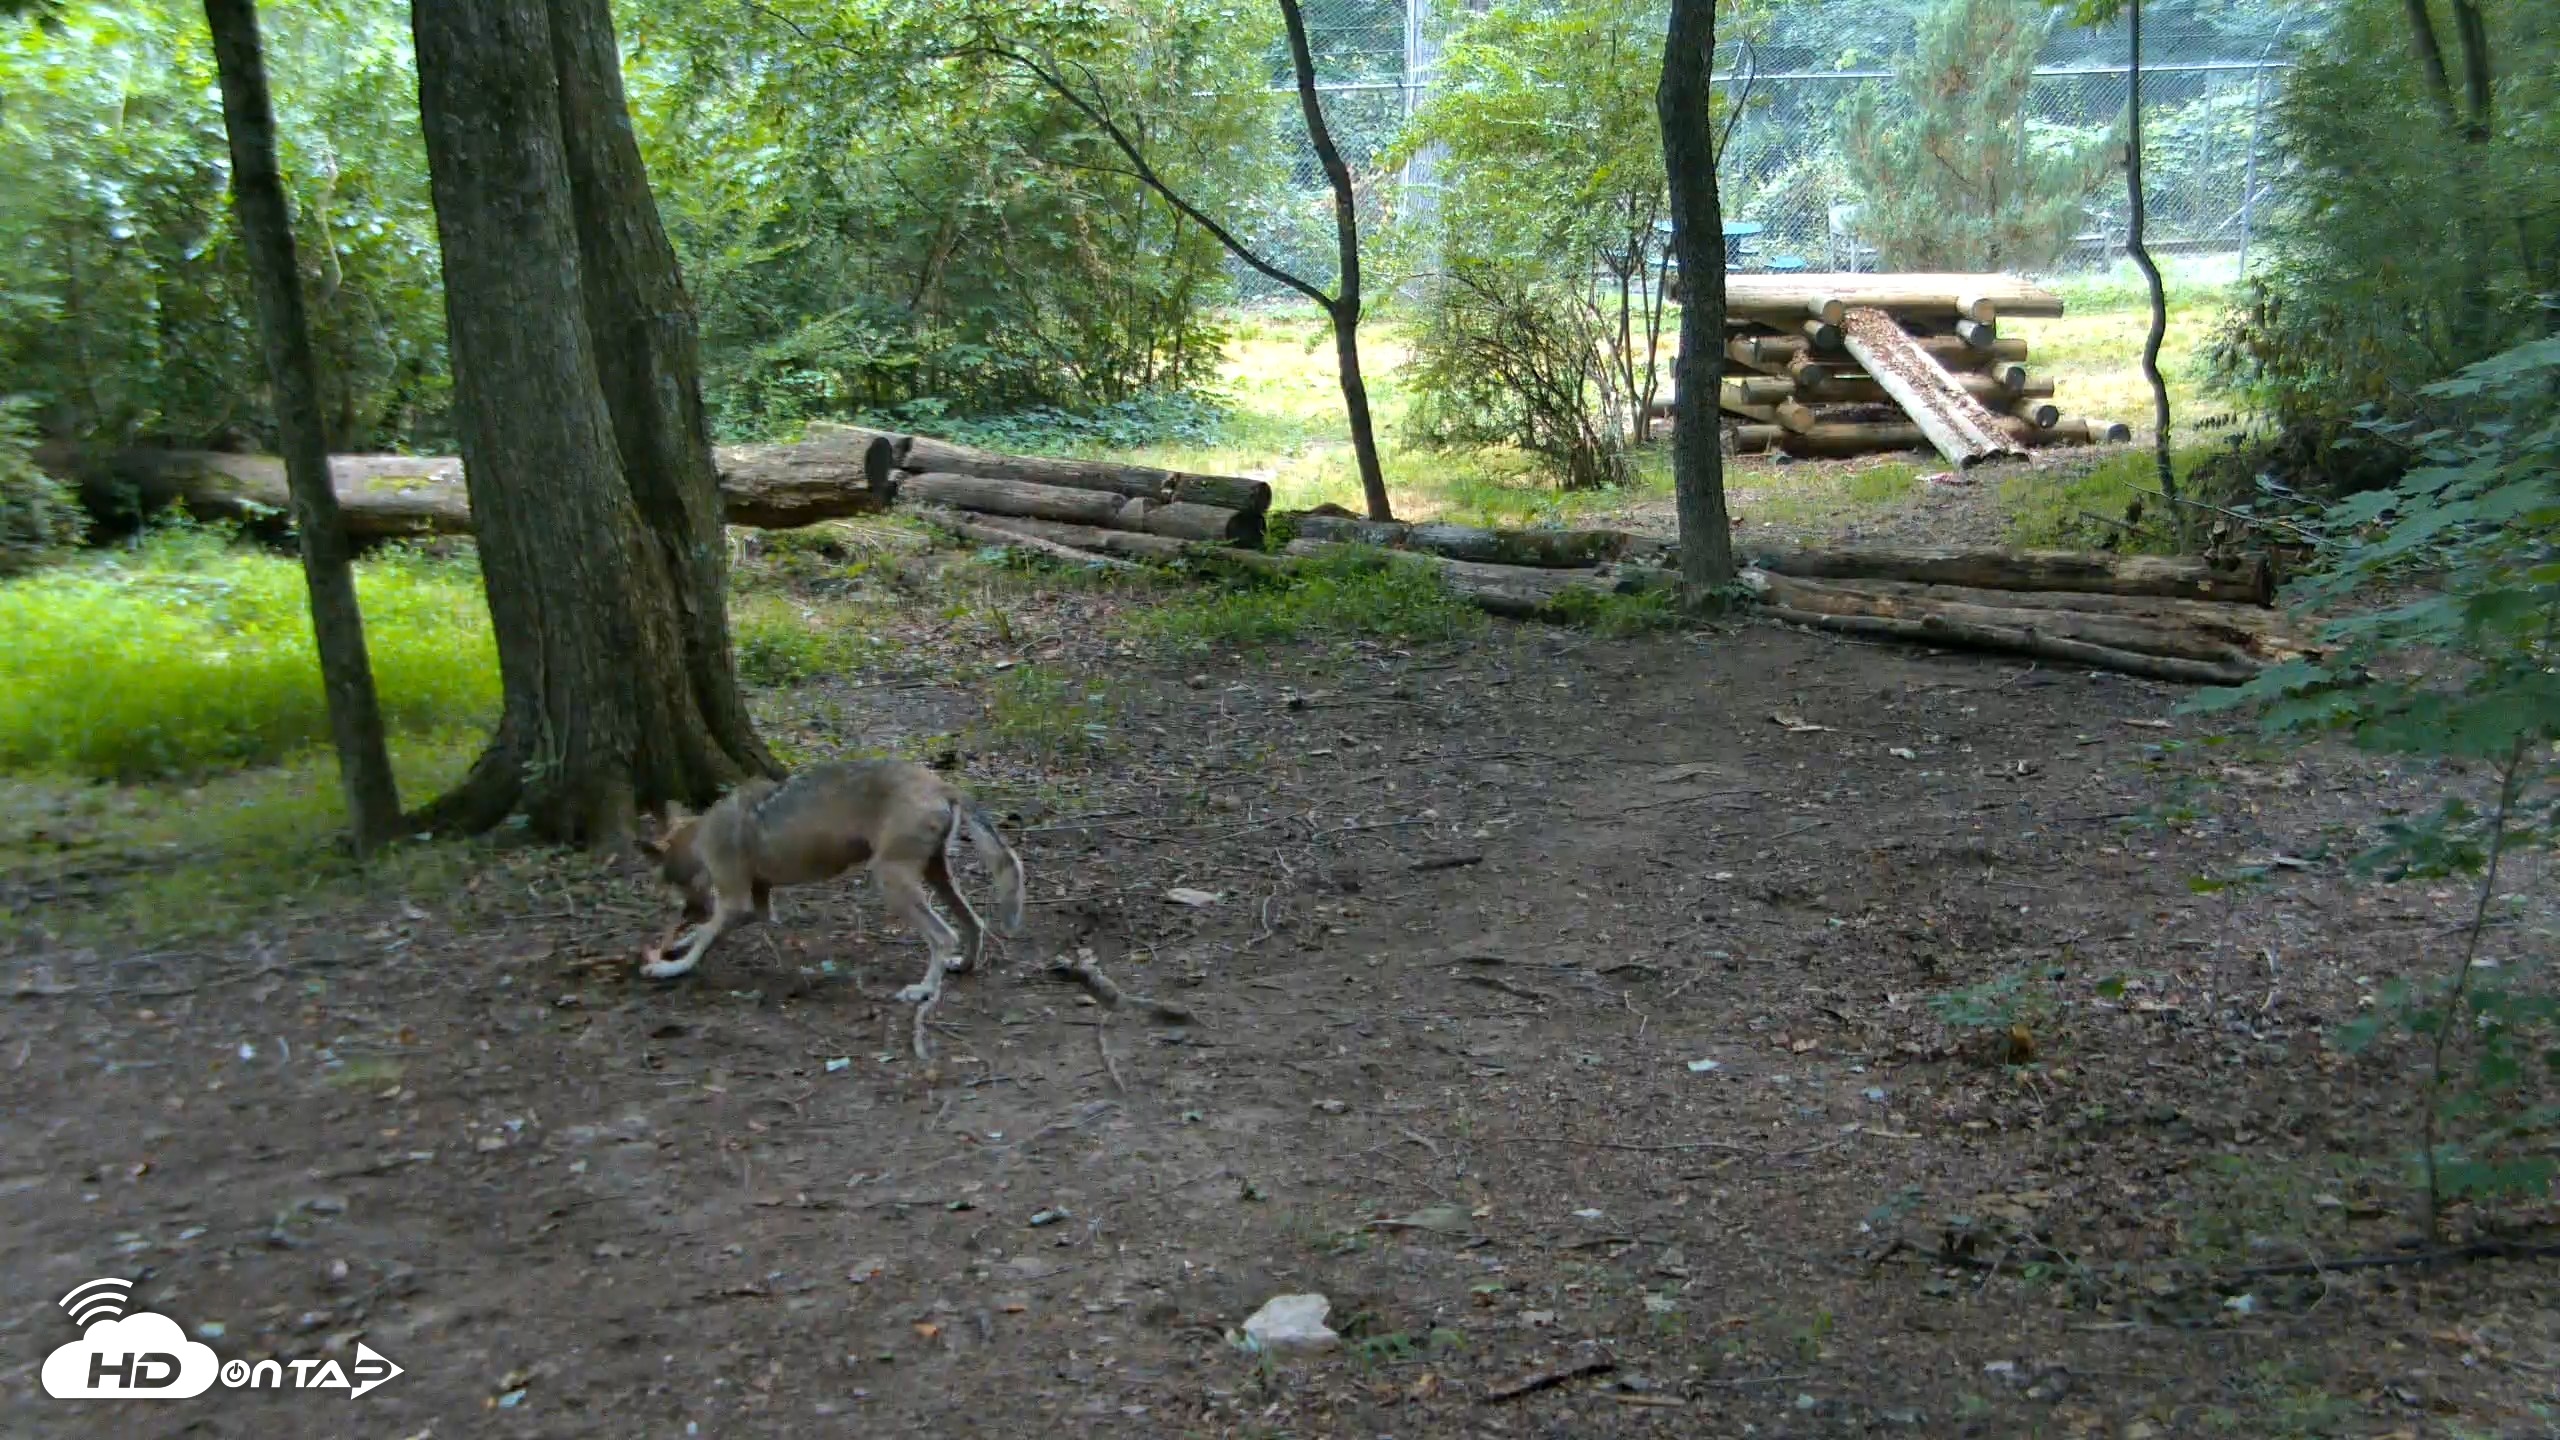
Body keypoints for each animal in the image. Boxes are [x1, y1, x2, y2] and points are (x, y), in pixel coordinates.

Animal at [636, 759, 1027, 1007]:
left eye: (667, 889)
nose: (683, 910)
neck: (699, 837)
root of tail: (941, 783)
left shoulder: (735, 901)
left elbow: (705, 935)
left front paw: (671, 967)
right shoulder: (758, 906)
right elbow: (705, 932)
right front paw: (676, 946)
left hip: (891, 881)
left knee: (944, 935)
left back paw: (924, 990)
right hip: (935, 875)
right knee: (973, 923)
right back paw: (963, 966)